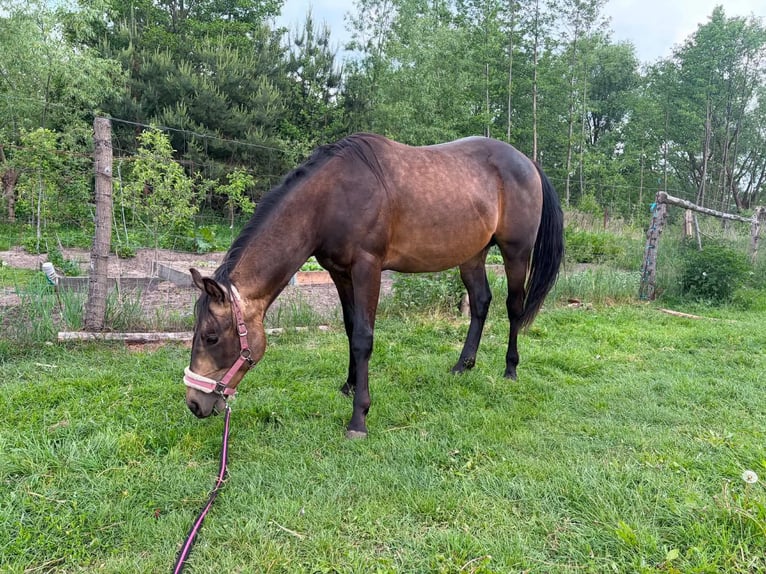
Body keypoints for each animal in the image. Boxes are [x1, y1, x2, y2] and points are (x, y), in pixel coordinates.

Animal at [183, 133, 564, 438]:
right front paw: (349, 386)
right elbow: (351, 329)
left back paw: (510, 369)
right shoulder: (339, 272)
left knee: (514, 307)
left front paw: (359, 418)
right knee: (481, 301)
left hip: (516, 253)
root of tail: (528, 163)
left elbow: (364, 337)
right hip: (472, 255)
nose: (194, 404)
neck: (331, 198)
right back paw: (462, 365)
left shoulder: (368, 268)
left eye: (211, 337)